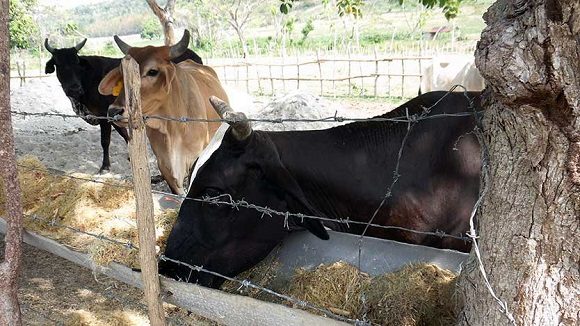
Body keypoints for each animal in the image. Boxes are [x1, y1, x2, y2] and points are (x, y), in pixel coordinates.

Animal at [45, 38, 204, 173]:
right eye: (58, 64)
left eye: (77, 63)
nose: (74, 88)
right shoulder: (113, 114)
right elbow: (125, 134)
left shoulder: (104, 116)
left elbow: (105, 141)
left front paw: (105, 166)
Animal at [98, 30, 228, 195]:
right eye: (122, 74)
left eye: (152, 71)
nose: (114, 111)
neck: (173, 128)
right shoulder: (165, 166)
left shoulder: (195, 159)